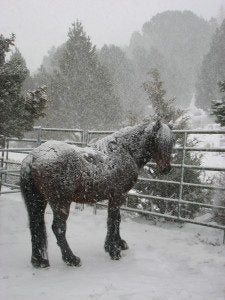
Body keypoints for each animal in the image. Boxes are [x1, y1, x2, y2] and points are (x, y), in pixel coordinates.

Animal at [19, 119, 174, 268]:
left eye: (171, 142)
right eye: (157, 141)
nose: (165, 169)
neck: (126, 151)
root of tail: (32, 158)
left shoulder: (116, 197)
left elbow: (117, 219)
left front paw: (117, 244)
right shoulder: (118, 196)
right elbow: (112, 221)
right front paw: (113, 251)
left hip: (38, 201)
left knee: (35, 225)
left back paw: (39, 261)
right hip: (61, 203)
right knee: (58, 228)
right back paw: (71, 259)